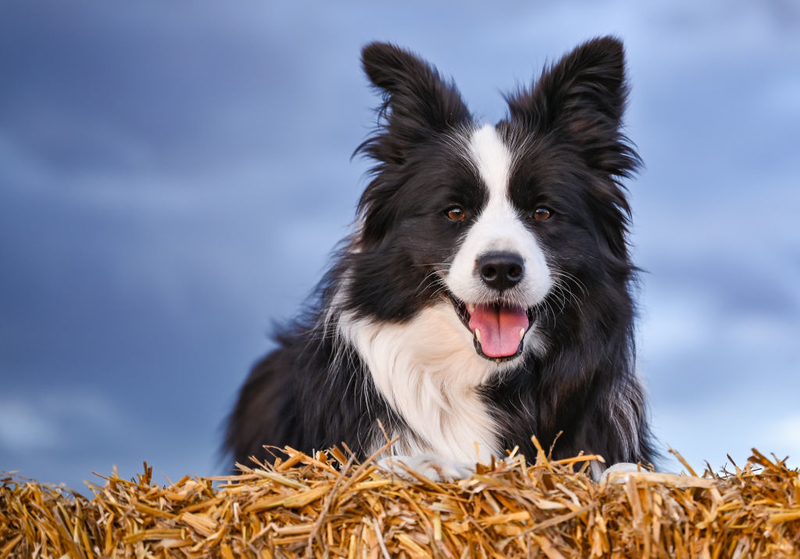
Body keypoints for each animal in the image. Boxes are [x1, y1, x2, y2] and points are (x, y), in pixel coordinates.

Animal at [225, 36, 656, 482]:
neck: (484, 376)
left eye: (542, 212)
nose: (501, 269)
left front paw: (628, 475)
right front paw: (425, 466)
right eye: (454, 212)